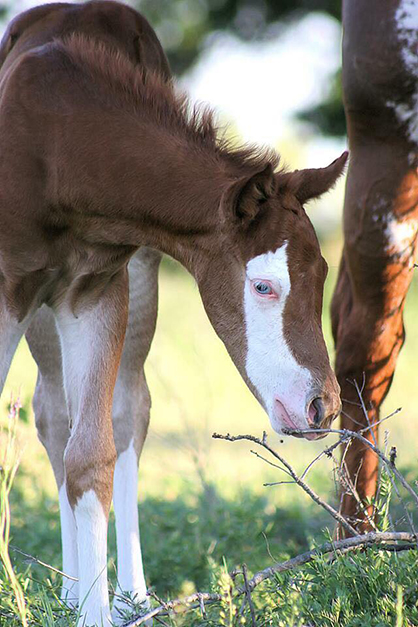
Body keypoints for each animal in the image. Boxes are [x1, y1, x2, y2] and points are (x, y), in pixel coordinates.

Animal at [0, 2, 346, 624]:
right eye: (263, 285)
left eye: (324, 273)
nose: (321, 406)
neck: (54, 148)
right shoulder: (8, 287)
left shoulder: (95, 291)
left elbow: (93, 454)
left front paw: (99, 612)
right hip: (37, 309)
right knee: (52, 415)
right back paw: (69, 590)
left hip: (134, 282)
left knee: (119, 415)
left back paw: (122, 595)